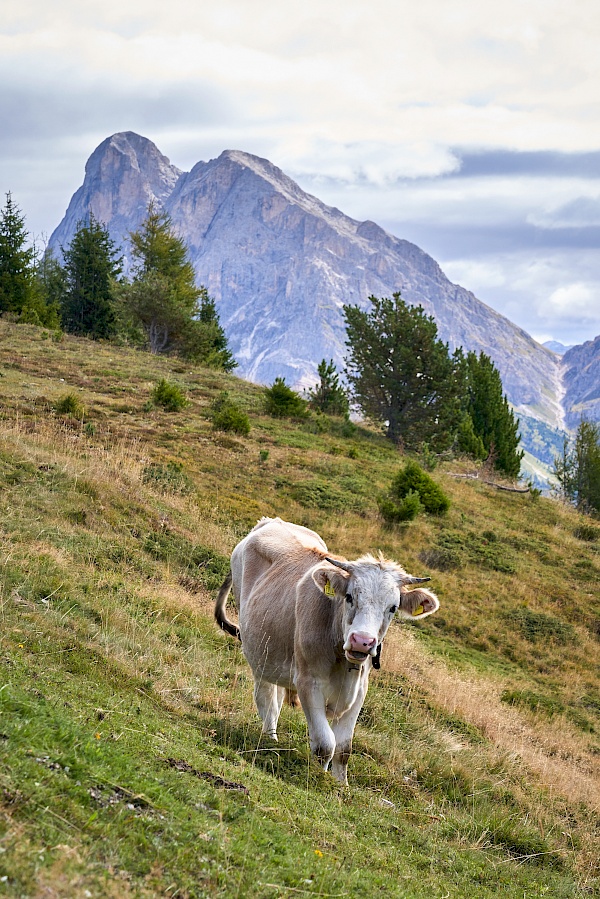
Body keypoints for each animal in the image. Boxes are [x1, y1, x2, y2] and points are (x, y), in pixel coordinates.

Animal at [213, 516, 438, 784]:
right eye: (349, 596)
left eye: (393, 608)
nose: (362, 641)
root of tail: (270, 521)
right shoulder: (308, 683)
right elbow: (325, 744)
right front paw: (320, 780)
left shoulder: (360, 691)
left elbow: (343, 749)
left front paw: (341, 784)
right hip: (259, 652)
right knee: (266, 697)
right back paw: (270, 740)